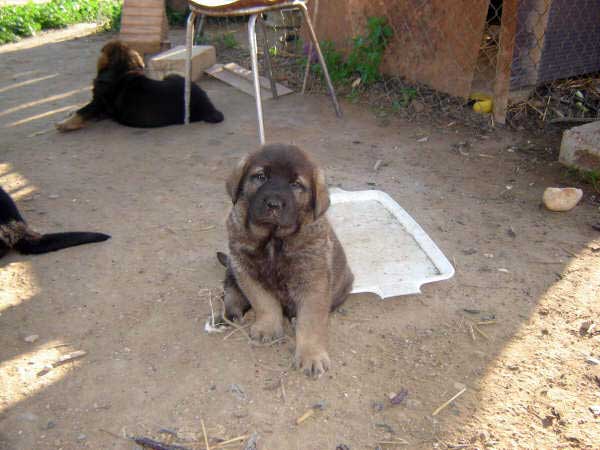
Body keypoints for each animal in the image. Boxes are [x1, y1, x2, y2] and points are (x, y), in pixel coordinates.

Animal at [56, 39, 224, 132]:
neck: (121, 70)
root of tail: (209, 107)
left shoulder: (98, 103)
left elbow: (83, 111)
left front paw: (65, 124)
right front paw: (69, 113)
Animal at [218, 144, 354, 376]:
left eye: (295, 184)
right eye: (261, 176)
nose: (273, 204)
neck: (273, 238)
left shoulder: (313, 281)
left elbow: (311, 321)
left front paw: (311, 356)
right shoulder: (245, 270)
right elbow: (263, 303)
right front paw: (267, 327)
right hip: (232, 267)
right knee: (232, 291)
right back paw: (228, 312)